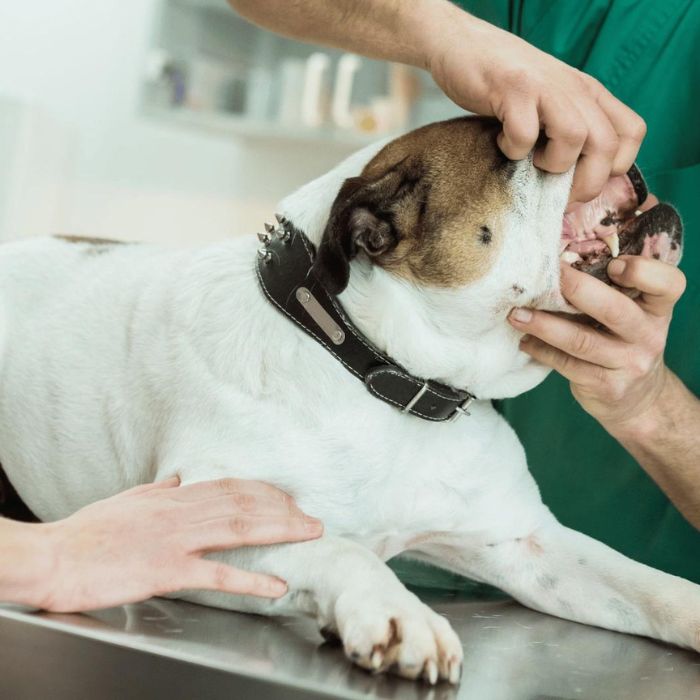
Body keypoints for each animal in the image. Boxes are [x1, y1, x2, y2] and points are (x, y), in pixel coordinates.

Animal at [0, 117, 692, 688]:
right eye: (524, 148)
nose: (619, 149)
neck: (383, 375)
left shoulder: (527, 544)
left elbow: (651, 586)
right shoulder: (201, 524)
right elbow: (340, 548)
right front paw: (399, 614)